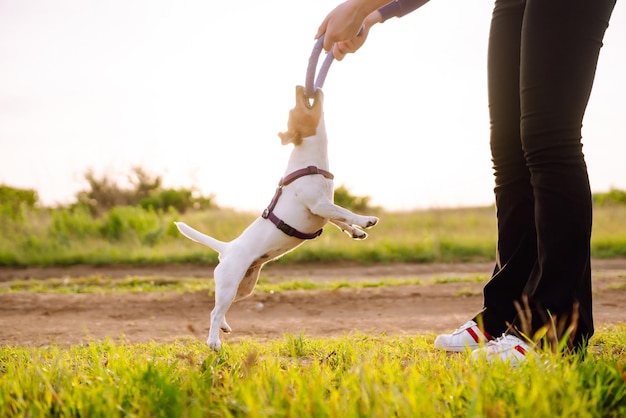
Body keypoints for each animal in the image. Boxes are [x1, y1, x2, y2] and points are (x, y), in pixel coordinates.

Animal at [177, 85, 380, 350]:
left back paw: (224, 326)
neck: (310, 163)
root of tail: (227, 248)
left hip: (244, 287)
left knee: (219, 309)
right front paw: (366, 219)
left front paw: (356, 231)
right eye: (295, 111)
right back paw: (214, 342)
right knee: (214, 311)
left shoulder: (323, 210)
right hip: (229, 283)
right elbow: (346, 212)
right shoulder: (319, 204)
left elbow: (340, 220)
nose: (300, 87)